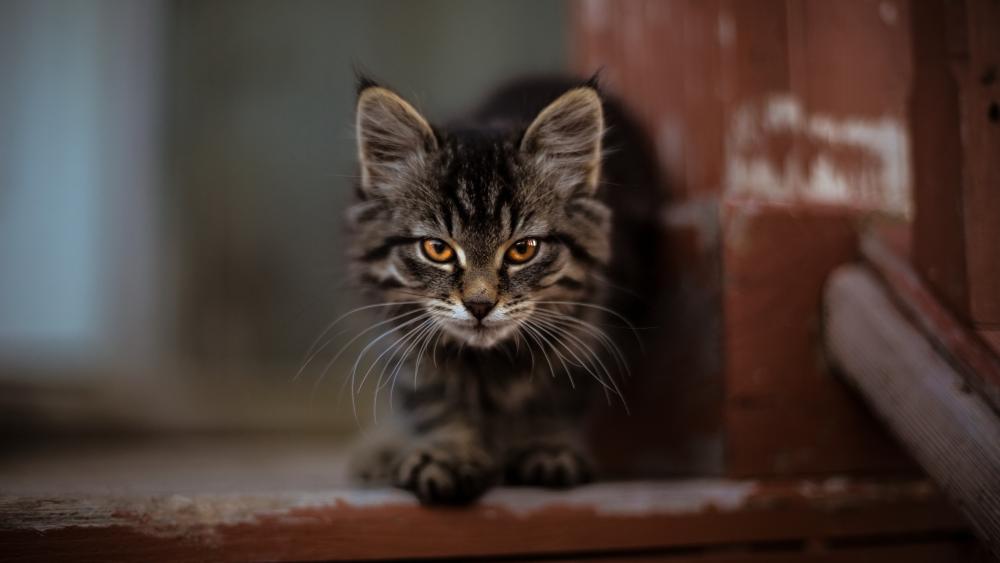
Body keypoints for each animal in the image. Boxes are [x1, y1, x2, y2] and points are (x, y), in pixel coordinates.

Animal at [344, 76, 664, 506]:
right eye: (437, 249)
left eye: (522, 249)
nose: (479, 304)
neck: (490, 362)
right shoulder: (405, 333)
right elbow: (433, 396)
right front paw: (450, 453)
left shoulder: (590, 326)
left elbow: (558, 392)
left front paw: (545, 445)